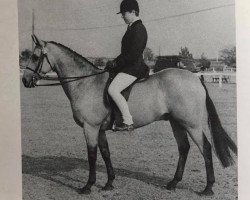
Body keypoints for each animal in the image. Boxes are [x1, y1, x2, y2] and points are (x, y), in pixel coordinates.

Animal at [22, 34, 236, 195]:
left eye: (35, 57)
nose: (25, 80)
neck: (85, 83)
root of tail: (195, 78)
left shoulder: (90, 128)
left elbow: (92, 155)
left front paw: (87, 186)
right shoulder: (100, 129)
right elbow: (105, 153)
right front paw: (109, 183)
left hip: (191, 124)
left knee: (205, 148)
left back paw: (208, 188)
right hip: (176, 122)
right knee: (184, 148)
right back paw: (173, 183)